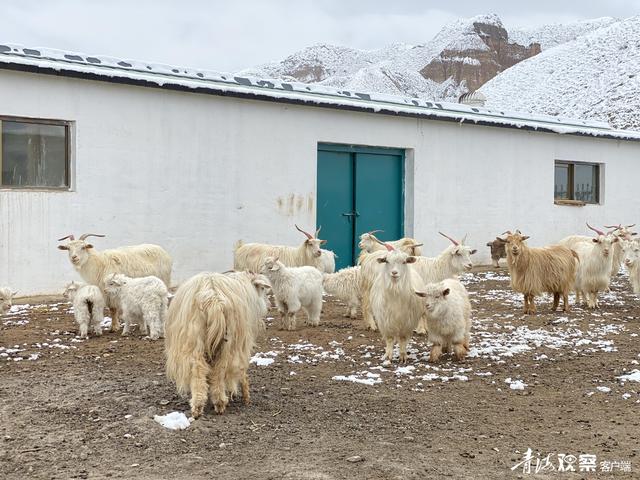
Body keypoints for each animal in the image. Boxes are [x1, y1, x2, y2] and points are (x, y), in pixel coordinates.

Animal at [164, 270, 268, 416]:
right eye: (262, 289)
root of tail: (213, 298)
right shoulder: (243, 345)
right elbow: (243, 373)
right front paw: (246, 397)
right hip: (229, 343)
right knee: (219, 369)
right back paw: (218, 402)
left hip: (194, 339)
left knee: (199, 369)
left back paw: (200, 405)